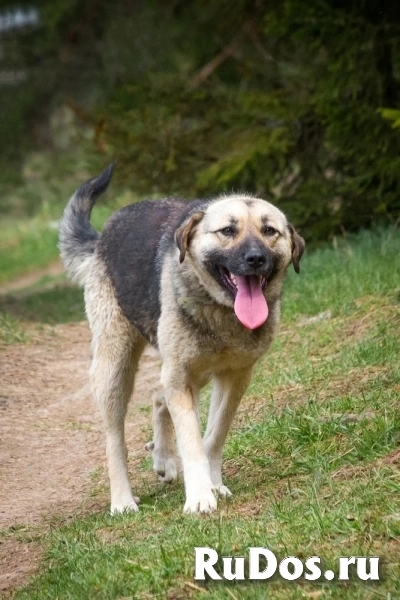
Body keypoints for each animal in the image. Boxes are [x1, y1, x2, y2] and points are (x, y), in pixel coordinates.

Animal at [58, 165, 304, 516]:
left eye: (270, 230)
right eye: (228, 230)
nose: (256, 258)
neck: (221, 312)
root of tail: (101, 238)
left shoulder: (234, 376)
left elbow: (213, 436)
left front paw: (213, 483)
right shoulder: (182, 378)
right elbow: (192, 443)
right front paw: (200, 495)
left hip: (185, 372)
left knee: (158, 395)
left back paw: (163, 458)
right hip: (116, 367)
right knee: (114, 439)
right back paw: (122, 501)